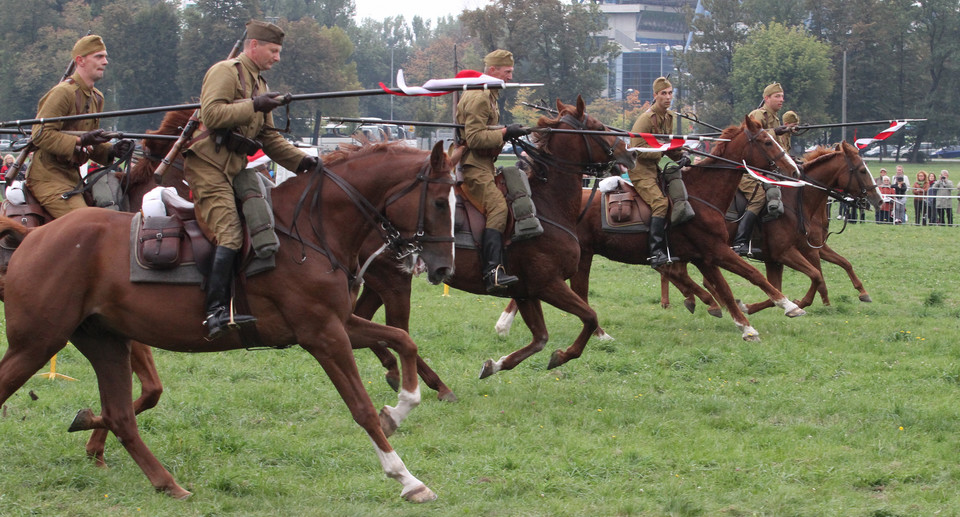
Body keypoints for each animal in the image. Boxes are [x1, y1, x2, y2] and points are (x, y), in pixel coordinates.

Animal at [0, 139, 456, 498]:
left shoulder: (339, 325)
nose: (442, 268)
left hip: (106, 343)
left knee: (121, 417)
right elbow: (361, 407)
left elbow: (403, 341)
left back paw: (167, 484)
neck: (310, 231)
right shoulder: (324, 336)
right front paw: (405, 477)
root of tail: (33, 236)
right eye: (439, 201)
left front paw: (400, 408)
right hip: (37, 343)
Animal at [496, 116, 804, 342]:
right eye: (766, 141)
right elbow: (752, 276)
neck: (702, 194)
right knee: (572, 290)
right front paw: (788, 307)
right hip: (578, 257)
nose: (794, 171)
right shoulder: (717, 251)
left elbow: (724, 289)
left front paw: (744, 323)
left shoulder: (705, 257)